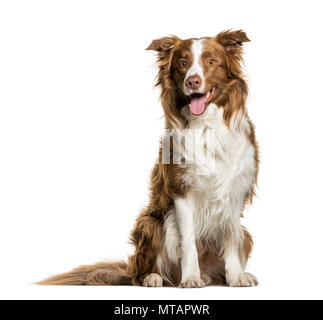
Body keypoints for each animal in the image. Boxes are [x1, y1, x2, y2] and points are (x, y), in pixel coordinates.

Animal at [39, 30, 260, 288]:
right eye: (183, 64)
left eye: (211, 62)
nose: (192, 82)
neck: (207, 126)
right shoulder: (181, 189)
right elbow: (188, 242)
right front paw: (190, 278)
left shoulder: (235, 190)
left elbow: (230, 238)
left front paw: (236, 277)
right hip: (150, 223)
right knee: (142, 272)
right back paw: (155, 277)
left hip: (246, 234)